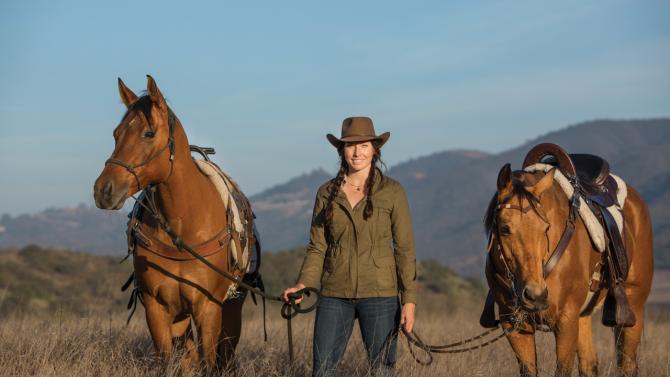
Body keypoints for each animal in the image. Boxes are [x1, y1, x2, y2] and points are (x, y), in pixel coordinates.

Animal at [94, 75, 252, 372]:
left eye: (148, 133)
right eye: (116, 134)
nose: (103, 190)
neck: (182, 227)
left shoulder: (208, 309)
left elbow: (209, 363)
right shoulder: (157, 308)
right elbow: (167, 362)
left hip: (231, 310)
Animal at [486, 145, 652, 374]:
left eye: (545, 227)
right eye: (504, 228)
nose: (535, 295)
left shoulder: (565, 322)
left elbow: (563, 370)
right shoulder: (514, 325)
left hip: (632, 305)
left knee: (626, 364)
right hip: (583, 317)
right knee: (589, 365)